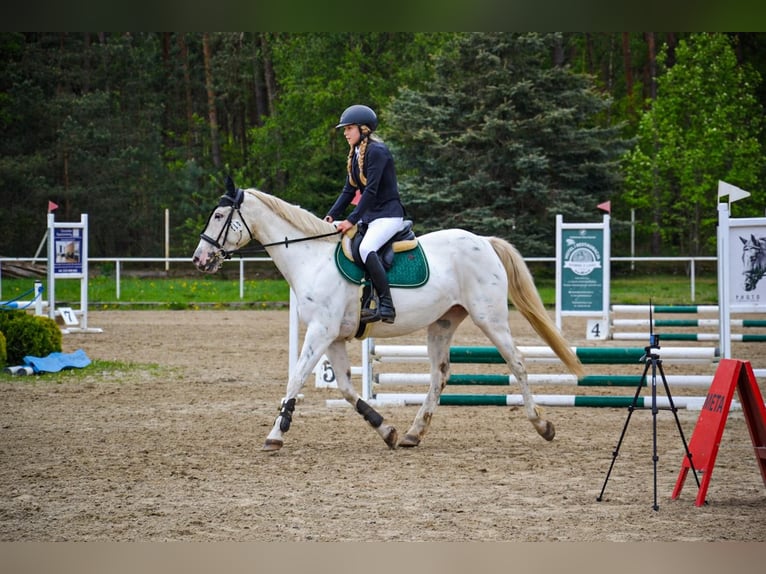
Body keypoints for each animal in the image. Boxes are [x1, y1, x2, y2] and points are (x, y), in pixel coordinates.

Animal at [192, 177, 585, 452]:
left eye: (218, 216)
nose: (199, 259)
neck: (311, 258)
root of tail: (484, 241)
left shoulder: (320, 331)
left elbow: (296, 378)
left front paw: (275, 434)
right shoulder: (333, 337)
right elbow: (346, 389)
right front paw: (386, 429)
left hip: (490, 319)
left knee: (517, 363)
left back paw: (542, 425)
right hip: (443, 322)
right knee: (439, 376)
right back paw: (413, 433)